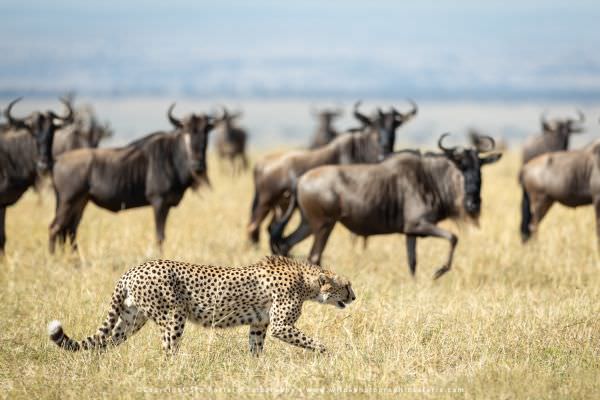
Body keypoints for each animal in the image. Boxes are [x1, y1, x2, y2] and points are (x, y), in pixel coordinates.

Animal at [49, 255, 356, 354]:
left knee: (107, 341)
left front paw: (256, 369)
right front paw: (327, 353)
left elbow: (256, 348)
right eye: (347, 285)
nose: (354, 297)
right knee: (168, 349)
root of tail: (134, 269)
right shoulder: (280, 325)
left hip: (132, 319)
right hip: (173, 316)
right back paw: (176, 371)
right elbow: (311, 341)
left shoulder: (259, 323)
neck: (307, 281)